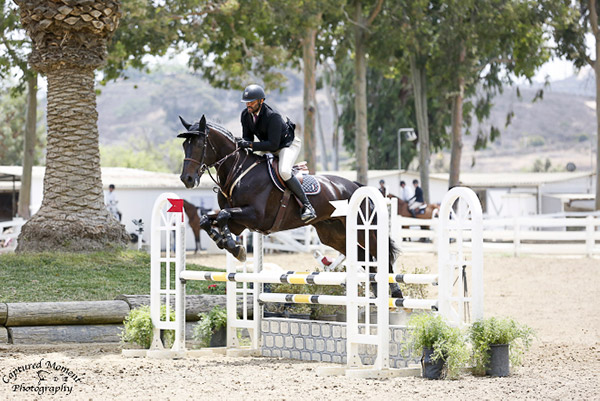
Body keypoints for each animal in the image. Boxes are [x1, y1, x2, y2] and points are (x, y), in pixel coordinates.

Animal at [177, 114, 404, 298]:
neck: (238, 170)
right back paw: (376, 293)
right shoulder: (239, 223)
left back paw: (395, 293)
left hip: (364, 229)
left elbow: (223, 214)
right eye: (184, 145)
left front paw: (234, 246)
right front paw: (230, 245)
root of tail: (355, 185)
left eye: (199, 144)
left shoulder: (255, 216)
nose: (186, 179)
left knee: (380, 254)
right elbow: (209, 219)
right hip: (334, 234)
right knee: (362, 256)